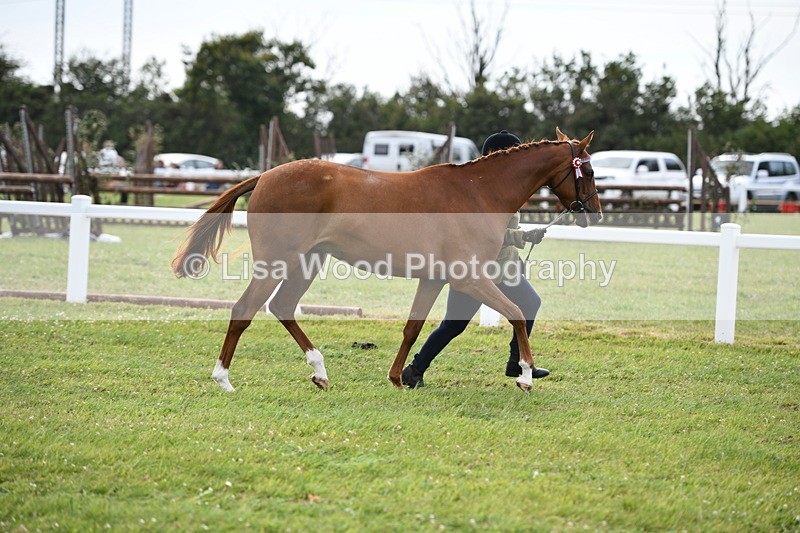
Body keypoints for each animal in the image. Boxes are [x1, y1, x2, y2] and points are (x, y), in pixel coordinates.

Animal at [172, 128, 601, 393]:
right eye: (590, 170)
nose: (594, 212)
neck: (478, 193)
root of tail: (263, 177)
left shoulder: (435, 278)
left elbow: (413, 328)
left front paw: (399, 377)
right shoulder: (469, 278)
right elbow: (514, 313)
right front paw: (525, 376)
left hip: (307, 263)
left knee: (282, 307)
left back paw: (320, 372)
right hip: (277, 261)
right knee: (244, 310)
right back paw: (224, 379)